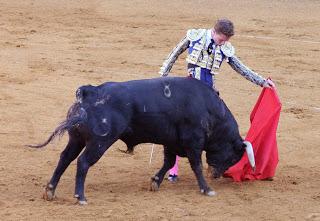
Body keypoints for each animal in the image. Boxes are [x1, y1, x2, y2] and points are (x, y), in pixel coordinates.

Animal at [29, 77, 255, 205]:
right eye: (233, 157)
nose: (216, 175)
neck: (211, 111)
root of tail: (90, 92)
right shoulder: (194, 142)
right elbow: (196, 165)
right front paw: (207, 189)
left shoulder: (170, 142)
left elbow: (168, 162)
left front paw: (155, 182)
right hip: (100, 142)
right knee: (83, 162)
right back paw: (81, 197)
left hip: (76, 139)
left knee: (65, 158)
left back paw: (50, 191)